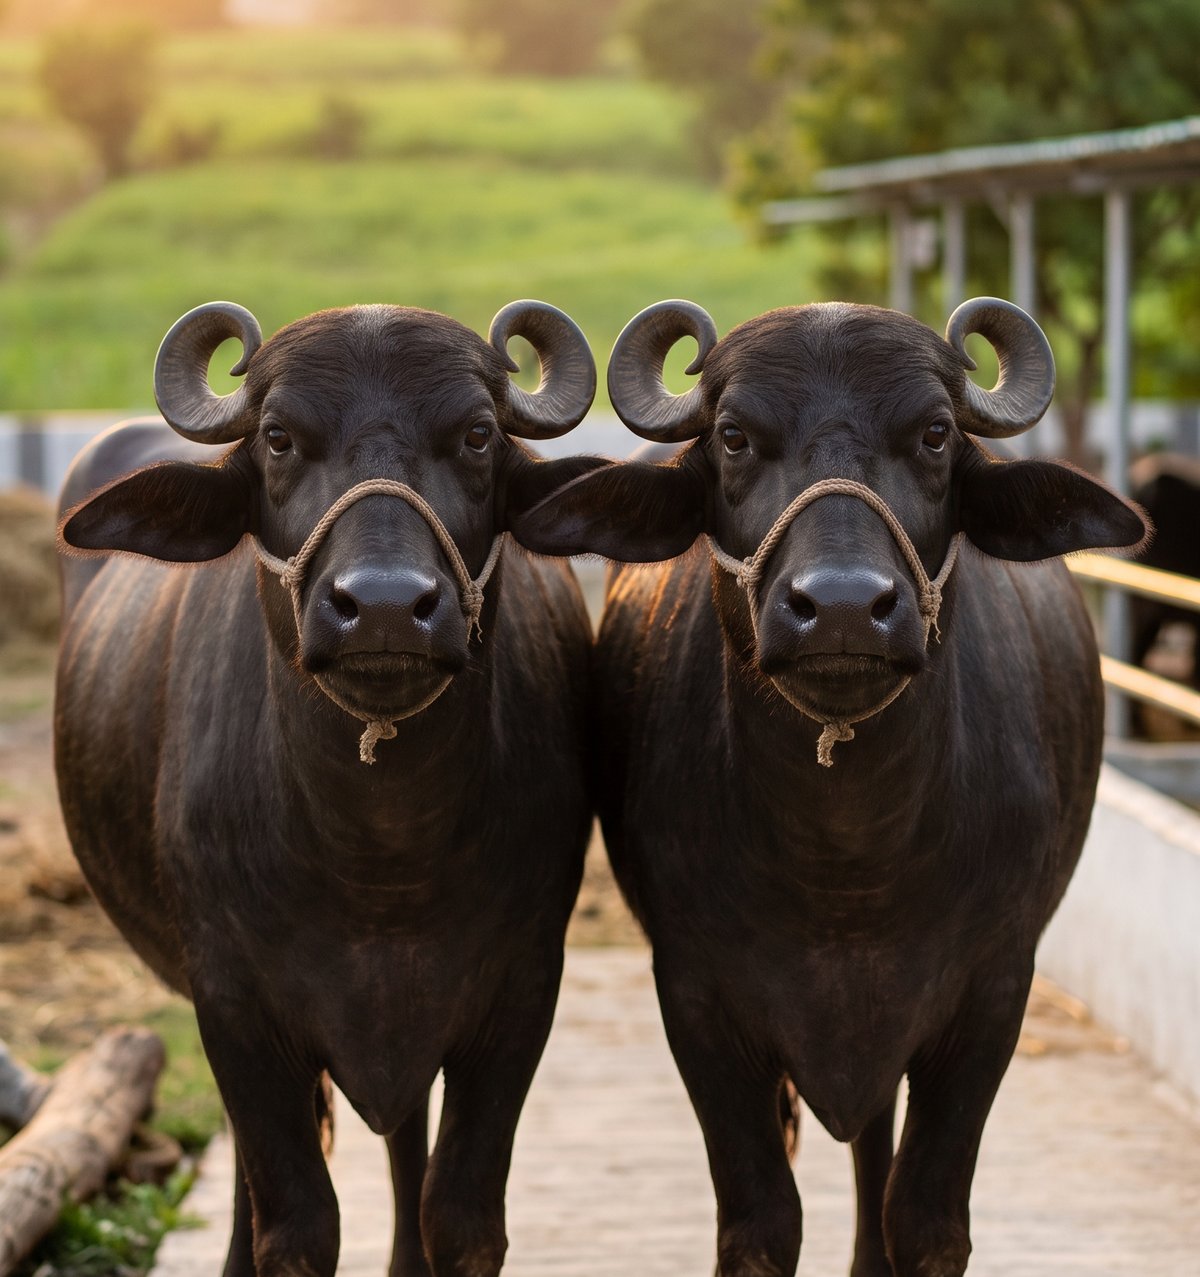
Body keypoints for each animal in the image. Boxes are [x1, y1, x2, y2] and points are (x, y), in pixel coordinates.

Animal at [55, 299, 603, 1277]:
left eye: (477, 434)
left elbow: (460, 1215)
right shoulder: (233, 1005)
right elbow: (297, 1221)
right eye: (278, 437)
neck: (379, 855)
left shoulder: (518, 994)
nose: (383, 606)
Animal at [516, 297, 1147, 1276]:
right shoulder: (697, 996)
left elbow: (924, 1219)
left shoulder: (993, 991)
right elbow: (760, 1220)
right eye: (735, 436)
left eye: (934, 433)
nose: (845, 607)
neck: (848, 857)